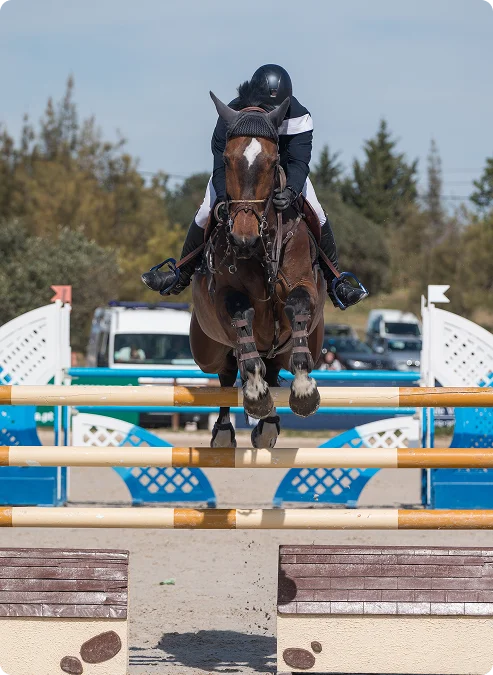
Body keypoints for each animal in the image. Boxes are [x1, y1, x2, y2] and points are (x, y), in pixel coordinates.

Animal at [190, 92, 326, 449]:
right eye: (226, 158)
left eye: (272, 159)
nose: (243, 238)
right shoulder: (227, 296)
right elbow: (242, 320)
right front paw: (255, 395)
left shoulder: (303, 284)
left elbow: (297, 307)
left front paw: (304, 391)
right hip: (207, 348)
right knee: (227, 372)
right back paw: (226, 431)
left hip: (302, 343)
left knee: (276, 367)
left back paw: (268, 426)